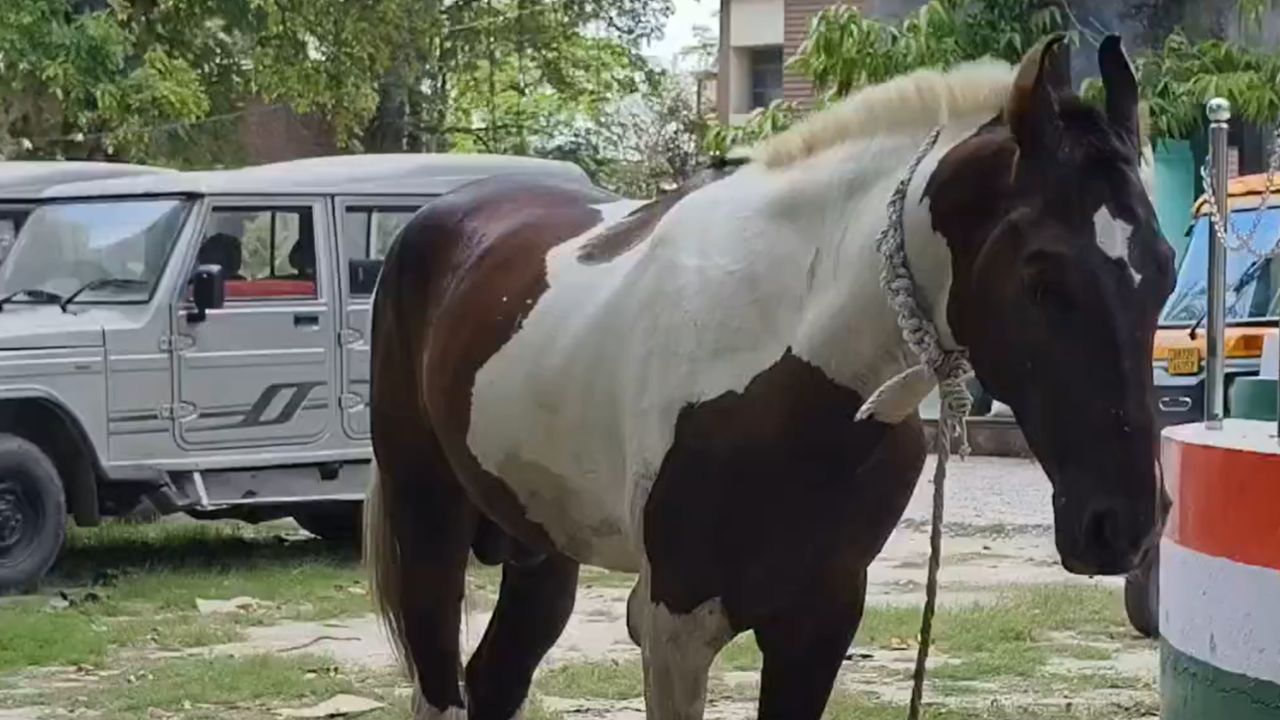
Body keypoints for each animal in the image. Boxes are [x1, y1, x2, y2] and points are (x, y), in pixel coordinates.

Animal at [364, 33, 1175, 720]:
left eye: (1165, 273)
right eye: (1043, 278)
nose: (1125, 526)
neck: (788, 375)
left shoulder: (820, 619)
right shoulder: (675, 625)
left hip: (539, 548)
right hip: (428, 519)